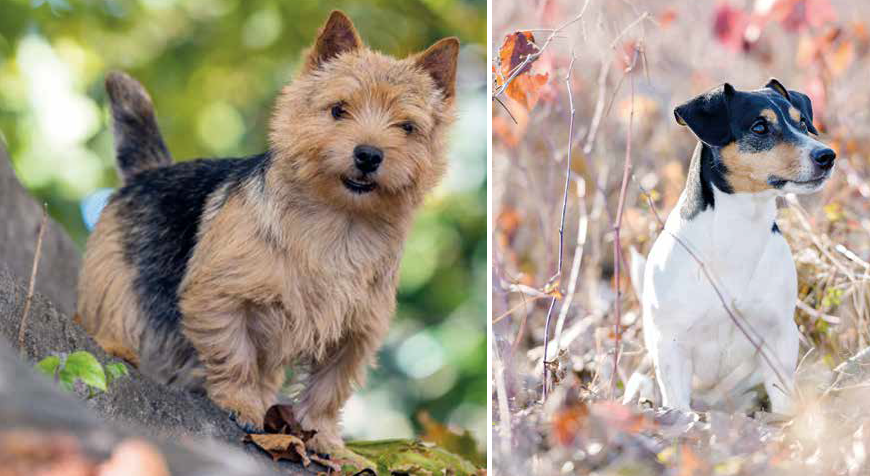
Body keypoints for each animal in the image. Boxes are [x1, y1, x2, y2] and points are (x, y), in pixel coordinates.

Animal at [78, 9, 460, 452]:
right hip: (116, 281)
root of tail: (151, 171)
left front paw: (325, 439)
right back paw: (118, 347)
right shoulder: (220, 296)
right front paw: (242, 405)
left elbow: (330, 389)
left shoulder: (355, 334)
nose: (368, 154)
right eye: (338, 110)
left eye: (407, 127)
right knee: (111, 317)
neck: (339, 223)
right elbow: (235, 356)